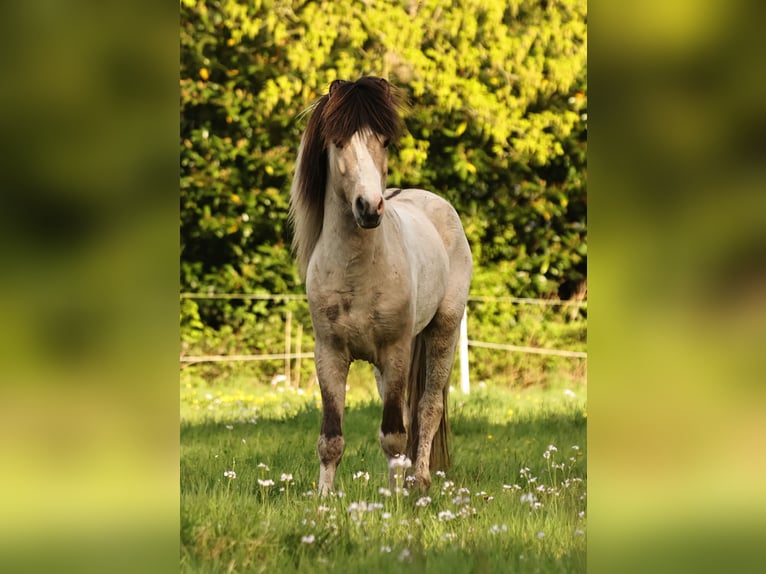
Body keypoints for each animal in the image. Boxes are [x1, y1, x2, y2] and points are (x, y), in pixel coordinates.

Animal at [288, 77, 472, 494]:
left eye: (384, 141)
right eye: (339, 141)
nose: (369, 207)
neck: (357, 272)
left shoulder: (396, 351)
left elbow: (393, 433)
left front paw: (392, 499)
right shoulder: (329, 355)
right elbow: (331, 437)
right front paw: (324, 499)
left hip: (444, 331)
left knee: (426, 407)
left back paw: (419, 480)